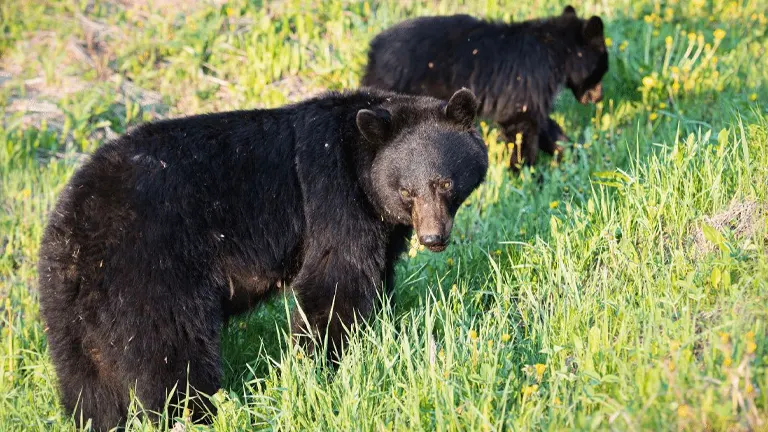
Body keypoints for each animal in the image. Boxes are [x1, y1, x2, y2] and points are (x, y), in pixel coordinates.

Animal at [37, 86, 486, 430]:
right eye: (407, 190)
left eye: (445, 182)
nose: (433, 237)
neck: (357, 159)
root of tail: (75, 226)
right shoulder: (333, 197)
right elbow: (334, 282)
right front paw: (321, 367)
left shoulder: (380, 223)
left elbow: (375, 275)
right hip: (153, 269)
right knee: (171, 356)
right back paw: (195, 415)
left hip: (71, 308)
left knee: (89, 382)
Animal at [364, 6, 608, 170]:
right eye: (602, 69)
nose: (598, 98)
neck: (555, 51)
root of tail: (373, 49)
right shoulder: (527, 82)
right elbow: (521, 128)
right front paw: (525, 173)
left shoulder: (532, 92)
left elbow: (544, 124)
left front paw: (569, 151)